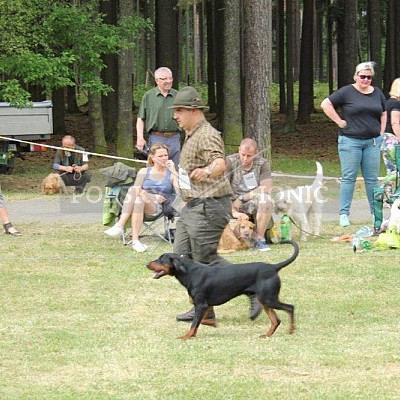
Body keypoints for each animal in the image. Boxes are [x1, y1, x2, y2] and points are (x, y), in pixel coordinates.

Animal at [145, 241, 298, 340]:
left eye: (161, 260)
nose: (146, 264)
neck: (190, 272)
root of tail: (274, 267)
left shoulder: (201, 305)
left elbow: (194, 323)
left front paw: (186, 336)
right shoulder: (206, 305)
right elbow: (201, 321)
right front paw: (210, 325)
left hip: (268, 299)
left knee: (290, 308)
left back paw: (291, 330)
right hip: (265, 301)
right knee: (276, 320)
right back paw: (267, 334)